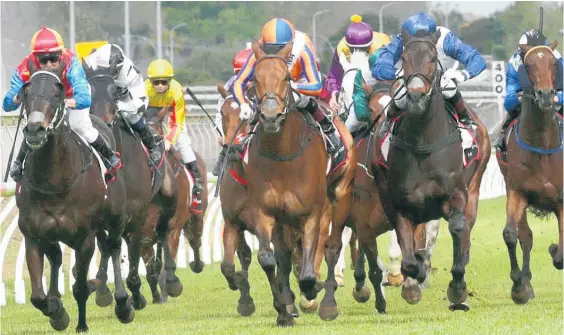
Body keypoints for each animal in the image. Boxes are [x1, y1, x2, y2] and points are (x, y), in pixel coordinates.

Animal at [17, 63, 134, 334]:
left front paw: (81, 322)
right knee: (57, 257)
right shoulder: (33, 235)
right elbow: (37, 297)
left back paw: (122, 303)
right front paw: (57, 311)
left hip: (114, 218)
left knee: (113, 247)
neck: (54, 182)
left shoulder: (84, 237)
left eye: (57, 92)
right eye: (26, 92)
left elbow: (80, 287)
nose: (35, 129)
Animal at [81, 63, 177, 312]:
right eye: (89, 91)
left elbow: (135, 245)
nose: (101, 122)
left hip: (166, 198)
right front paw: (104, 291)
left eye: (116, 92)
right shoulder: (101, 212)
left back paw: (170, 281)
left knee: (163, 231)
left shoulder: (139, 211)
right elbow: (106, 245)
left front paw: (135, 290)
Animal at [370, 30, 490, 312]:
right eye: (403, 58)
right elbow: (409, 257)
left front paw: (457, 289)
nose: (414, 95)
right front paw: (414, 280)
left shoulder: (455, 195)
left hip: (475, 186)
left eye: (433, 58)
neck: (423, 140)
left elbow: (457, 228)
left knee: (465, 230)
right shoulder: (400, 204)